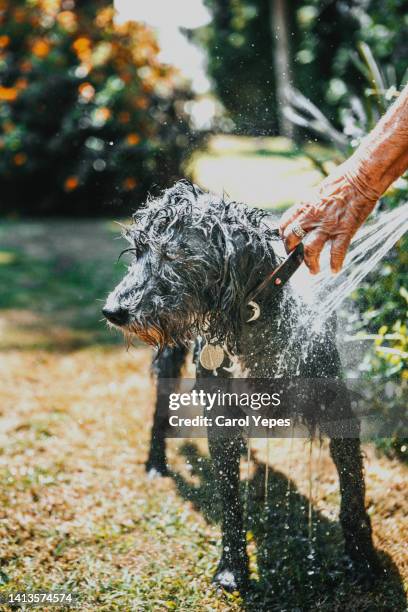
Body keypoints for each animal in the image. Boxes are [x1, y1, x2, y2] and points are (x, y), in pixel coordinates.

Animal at [103, 182, 380, 592]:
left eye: (173, 254)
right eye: (138, 252)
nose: (113, 311)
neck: (251, 321)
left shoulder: (336, 411)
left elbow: (353, 493)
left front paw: (363, 558)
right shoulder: (219, 414)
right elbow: (230, 500)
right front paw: (233, 565)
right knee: (160, 406)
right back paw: (155, 462)